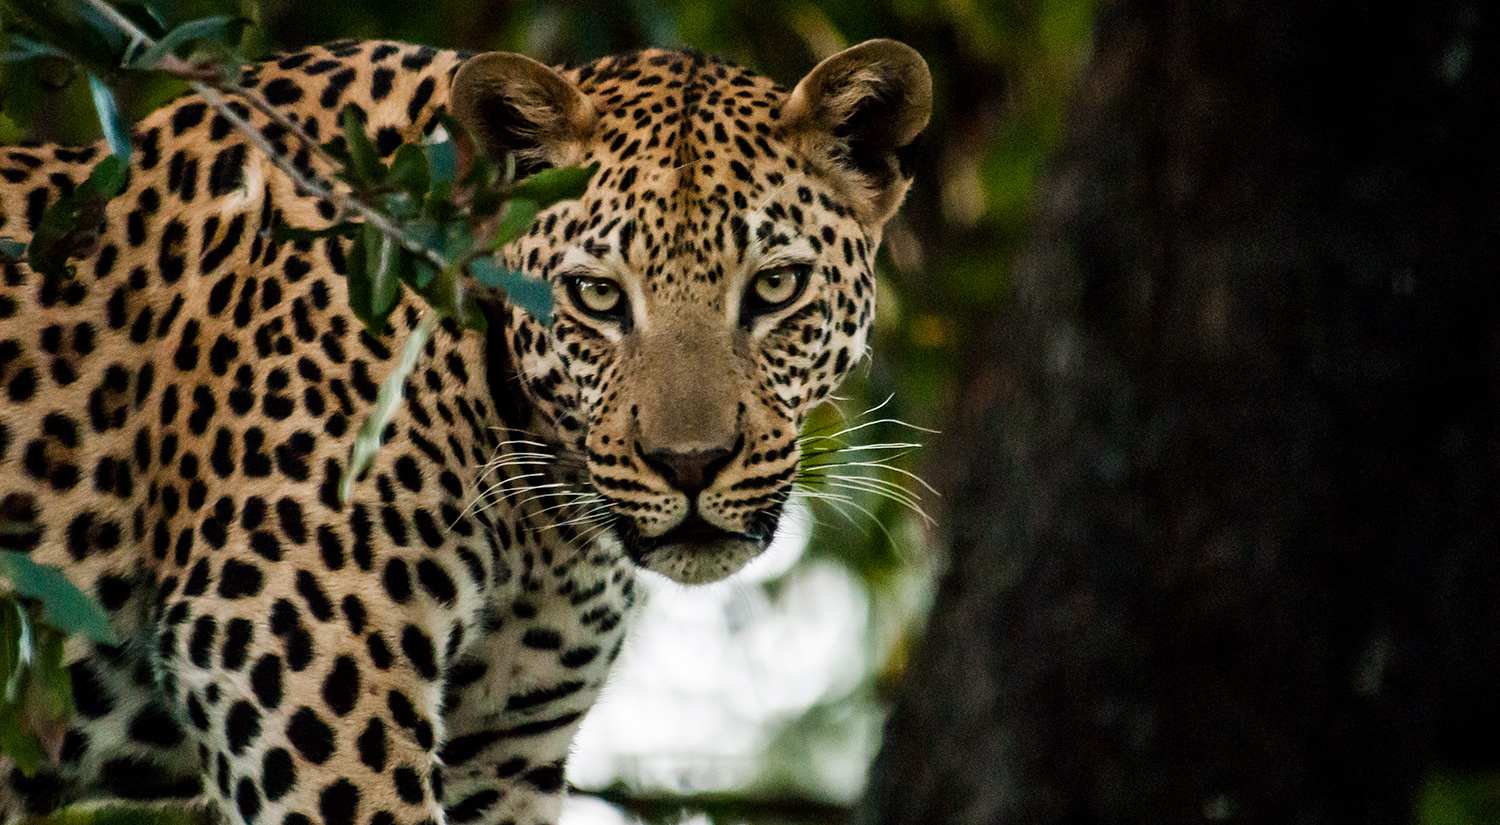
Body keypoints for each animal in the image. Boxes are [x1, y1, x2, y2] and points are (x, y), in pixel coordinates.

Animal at [0, 35, 930, 825]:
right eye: (597, 296)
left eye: (775, 287)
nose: (691, 464)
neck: (546, 517)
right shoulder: (289, 644)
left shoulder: (506, 740)